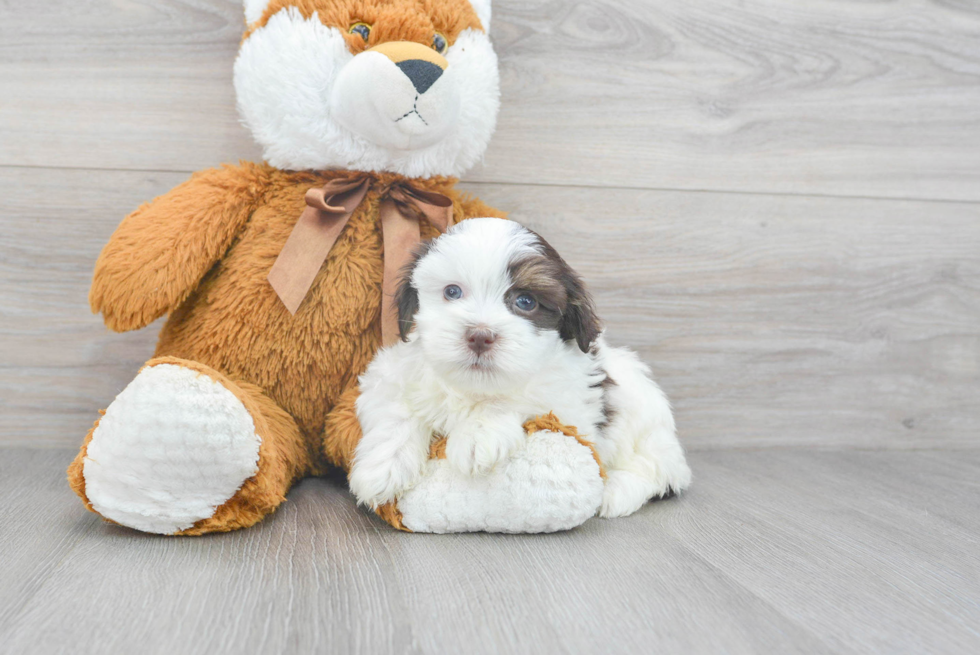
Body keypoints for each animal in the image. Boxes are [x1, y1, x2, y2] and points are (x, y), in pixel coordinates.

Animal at [348, 219, 692, 516]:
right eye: (452, 292)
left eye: (526, 302)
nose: (480, 336)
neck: (472, 386)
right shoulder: (387, 376)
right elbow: (397, 410)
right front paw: (383, 467)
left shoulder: (570, 406)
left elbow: (519, 398)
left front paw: (478, 433)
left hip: (646, 421)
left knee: (656, 469)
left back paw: (616, 492)